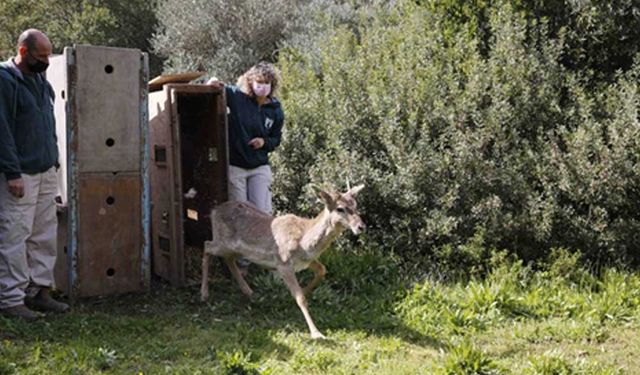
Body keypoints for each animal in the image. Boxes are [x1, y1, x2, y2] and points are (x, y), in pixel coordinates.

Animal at [202, 185, 368, 340]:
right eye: (340, 208)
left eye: (356, 205)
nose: (361, 226)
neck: (304, 241)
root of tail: (213, 211)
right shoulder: (283, 263)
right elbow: (300, 298)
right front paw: (316, 333)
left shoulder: (305, 261)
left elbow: (322, 270)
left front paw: (303, 291)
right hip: (222, 241)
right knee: (206, 245)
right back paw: (204, 294)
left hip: (235, 249)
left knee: (228, 258)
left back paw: (248, 291)